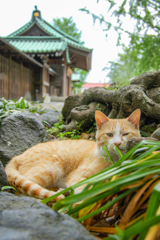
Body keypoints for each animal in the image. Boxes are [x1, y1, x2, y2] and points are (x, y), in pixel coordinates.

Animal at [5, 109, 140, 202]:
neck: (116, 160)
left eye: (125, 134)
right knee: (22, 190)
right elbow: (85, 190)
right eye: (109, 135)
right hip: (51, 167)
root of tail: (17, 156)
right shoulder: (78, 177)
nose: (117, 143)